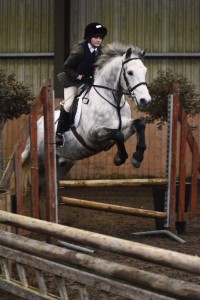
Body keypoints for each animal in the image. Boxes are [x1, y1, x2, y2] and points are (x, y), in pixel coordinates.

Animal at [21, 42, 151, 192]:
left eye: (145, 71)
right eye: (130, 72)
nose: (145, 101)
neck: (113, 102)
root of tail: (37, 124)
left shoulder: (124, 128)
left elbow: (139, 124)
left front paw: (137, 158)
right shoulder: (93, 135)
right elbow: (117, 135)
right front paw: (119, 158)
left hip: (63, 165)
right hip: (41, 162)